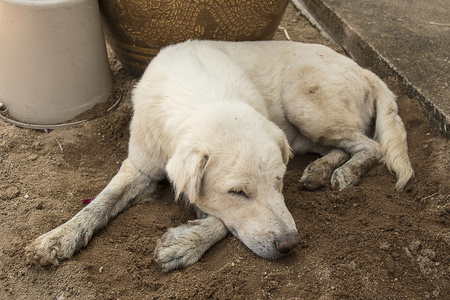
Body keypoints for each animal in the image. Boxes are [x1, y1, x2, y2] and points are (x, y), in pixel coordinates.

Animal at [23, 39, 412, 272]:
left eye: (278, 183)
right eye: (237, 191)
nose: (290, 244)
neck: (202, 93)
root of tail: (365, 69)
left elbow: (222, 220)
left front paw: (187, 242)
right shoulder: (140, 166)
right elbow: (99, 203)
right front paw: (60, 237)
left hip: (303, 104)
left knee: (371, 146)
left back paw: (346, 172)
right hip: (303, 128)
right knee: (349, 145)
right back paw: (321, 168)